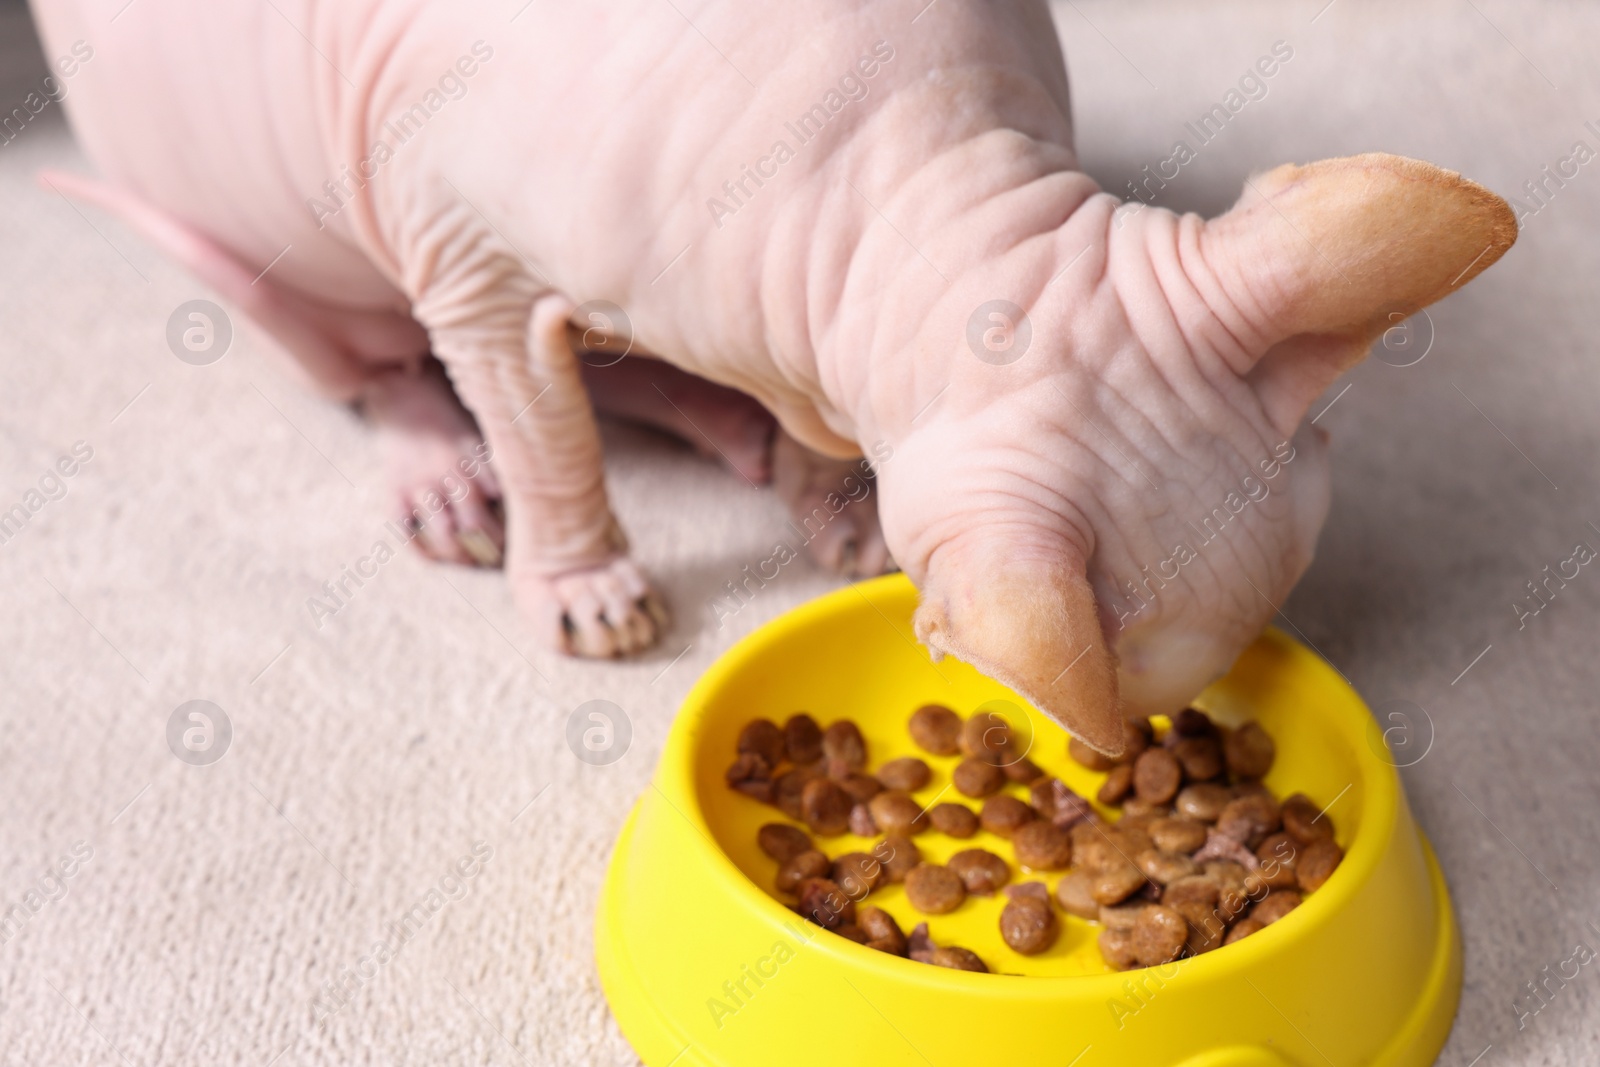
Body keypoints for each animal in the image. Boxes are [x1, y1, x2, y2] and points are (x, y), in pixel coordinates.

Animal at [34, 2, 1510, 751]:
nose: (1135, 760)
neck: (908, 165)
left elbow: (805, 396)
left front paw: (830, 498)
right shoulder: (465, 251)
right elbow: (536, 419)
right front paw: (585, 579)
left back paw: (708, 413)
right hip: (288, 209)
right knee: (401, 362)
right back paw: (446, 469)